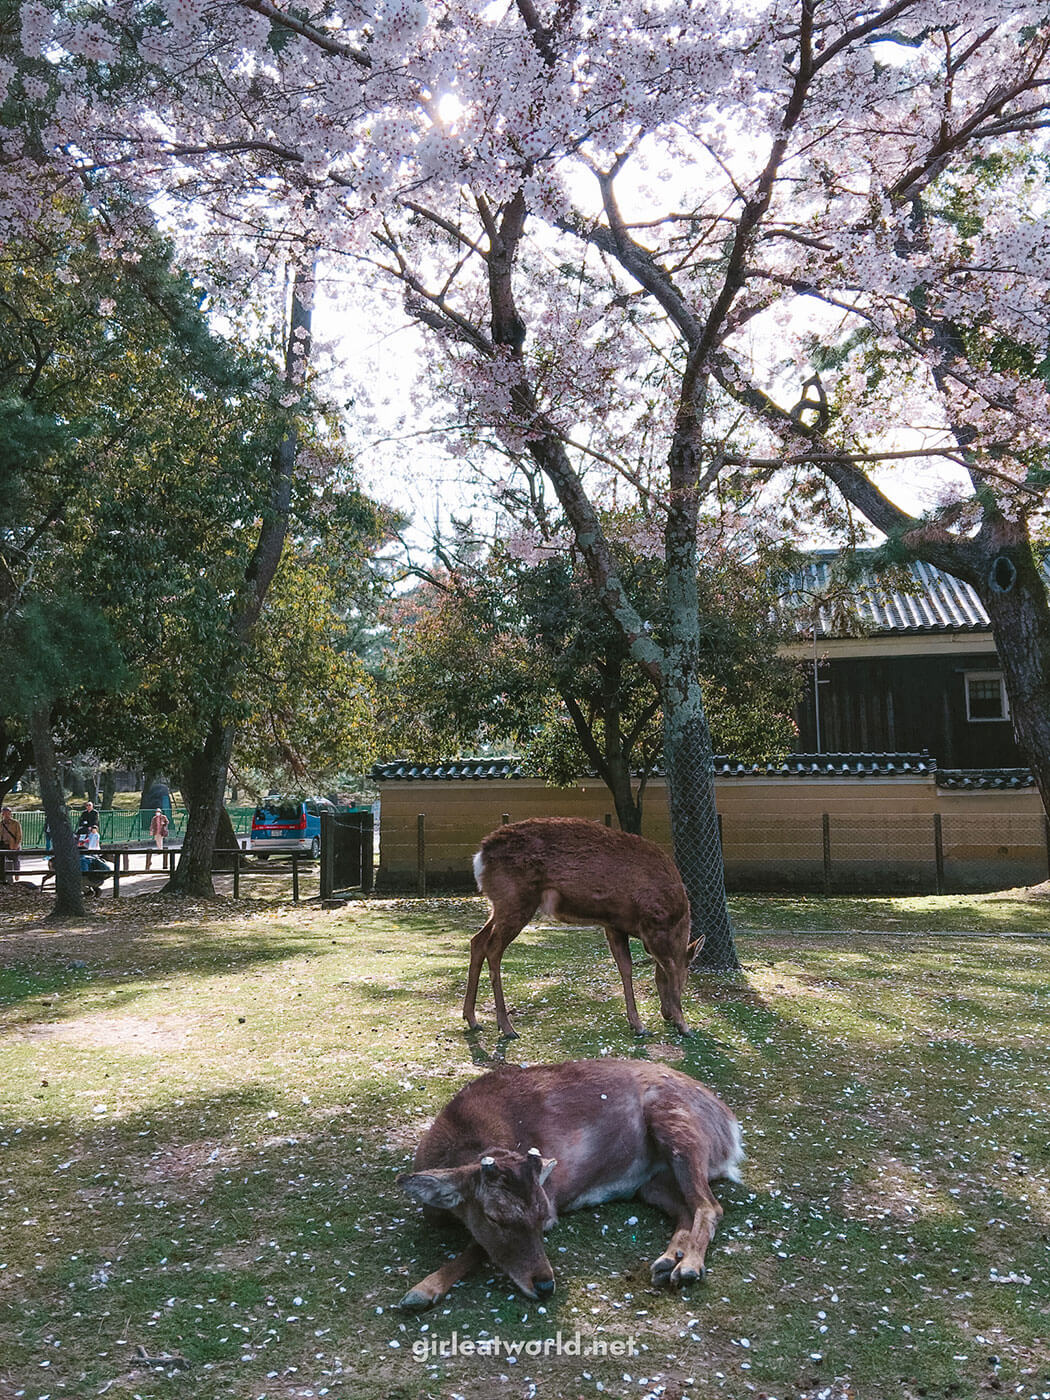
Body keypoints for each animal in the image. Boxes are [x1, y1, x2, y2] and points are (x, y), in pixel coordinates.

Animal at [397, 1058, 744, 1310]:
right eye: (494, 1217)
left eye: (541, 1217)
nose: (545, 1285)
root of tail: (731, 1130)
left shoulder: (551, 1201)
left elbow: (477, 1247)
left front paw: (421, 1291)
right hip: (653, 1183)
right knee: (687, 1208)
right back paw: (667, 1262)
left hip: (678, 1127)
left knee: (709, 1206)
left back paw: (689, 1268)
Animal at [464, 817, 694, 1036]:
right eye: (687, 976)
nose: (666, 1014)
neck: (678, 920)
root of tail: (480, 857)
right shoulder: (654, 925)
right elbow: (669, 967)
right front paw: (683, 1025)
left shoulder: (614, 925)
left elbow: (626, 968)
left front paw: (637, 1024)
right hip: (516, 900)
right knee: (493, 948)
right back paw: (506, 1027)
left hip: (501, 904)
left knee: (478, 940)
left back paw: (472, 1019)